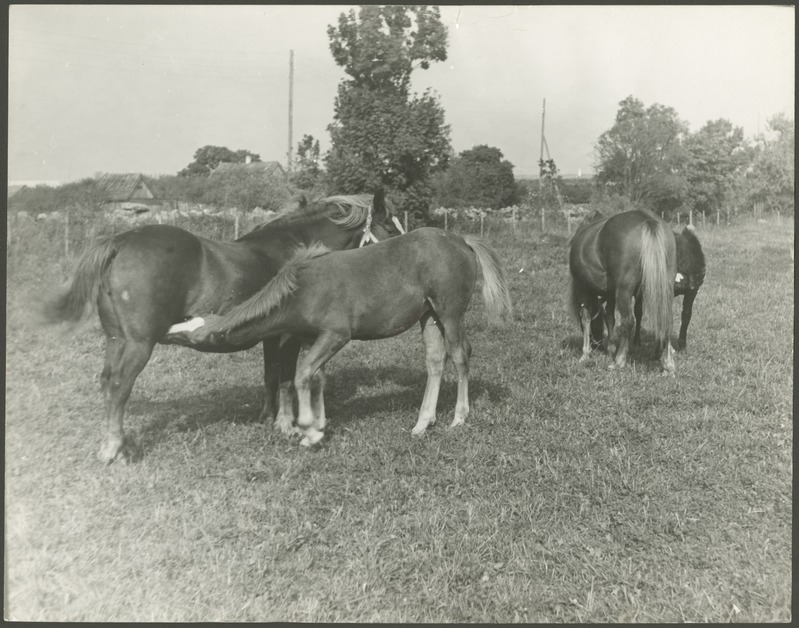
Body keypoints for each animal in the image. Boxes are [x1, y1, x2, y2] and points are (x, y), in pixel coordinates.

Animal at [40, 190, 404, 462]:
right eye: (390, 225)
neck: (296, 247)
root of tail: (118, 243)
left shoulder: (271, 337)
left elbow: (270, 376)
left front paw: (267, 417)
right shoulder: (287, 337)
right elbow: (287, 379)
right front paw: (287, 425)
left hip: (116, 340)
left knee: (106, 382)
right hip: (138, 344)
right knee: (119, 386)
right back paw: (114, 448)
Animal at [166, 228, 516, 448]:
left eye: (200, 337)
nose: (166, 332)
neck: (302, 289)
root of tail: (461, 240)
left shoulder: (336, 335)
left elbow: (302, 375)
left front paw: (309, 431)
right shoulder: (313, 339)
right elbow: (316, 377)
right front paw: (318, 424)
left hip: (450, 312)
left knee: (460, 355)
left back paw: (458, 418)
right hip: (428, 316)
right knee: (435, 360)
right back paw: (422, 423)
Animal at [564, 209, 680, 372]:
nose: (597, 343)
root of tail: (646, 219)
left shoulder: (583, 288)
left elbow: (585, 317)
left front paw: (586, 353)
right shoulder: (610, 293)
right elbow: (609, 317)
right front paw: (611, 347)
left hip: (624, 291)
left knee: (628, 321)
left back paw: (619, 360)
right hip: (666, 286)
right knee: (666, 319)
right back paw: (668, 362)